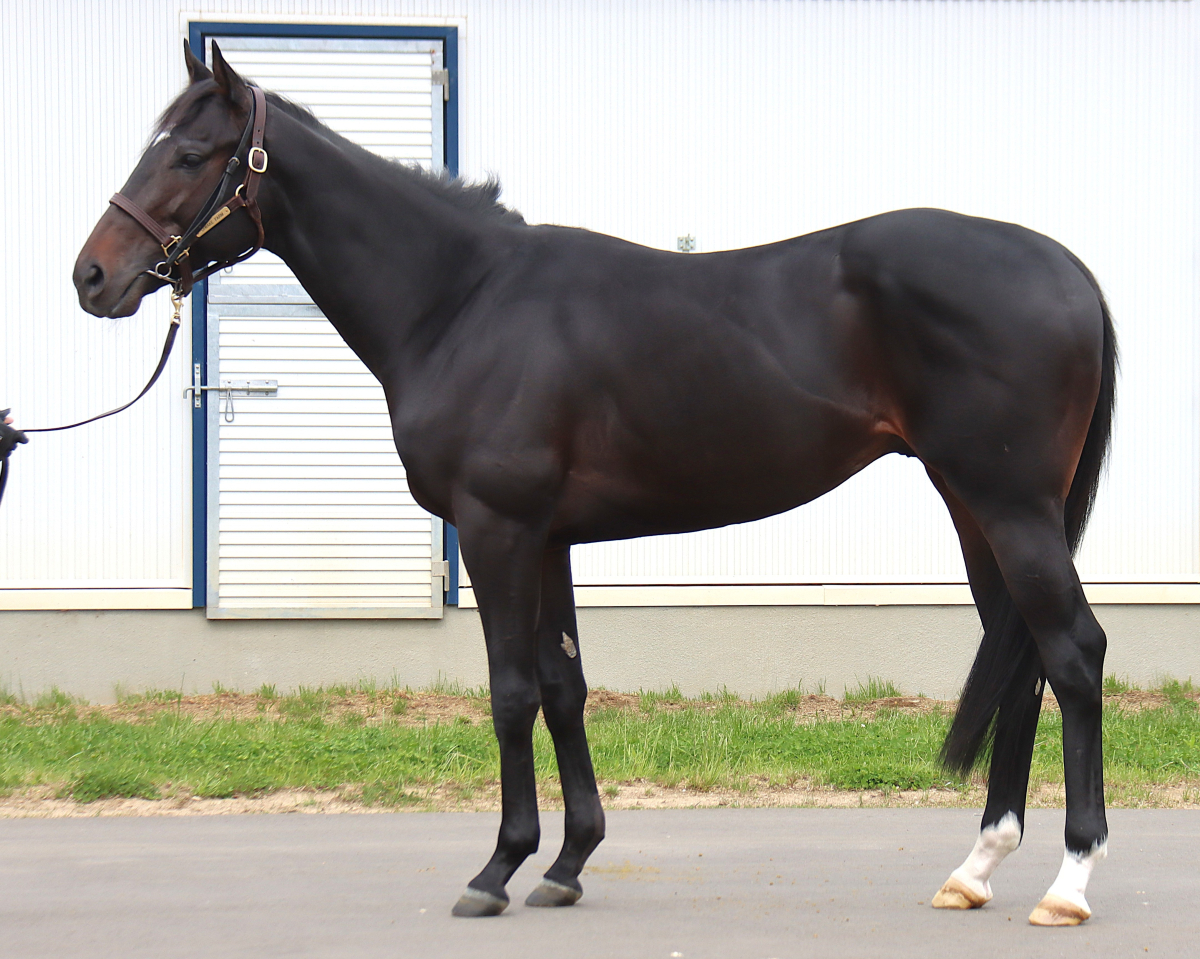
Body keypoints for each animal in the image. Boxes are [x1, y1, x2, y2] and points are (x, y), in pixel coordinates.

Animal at [74, 42, 1116, 927]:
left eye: (191, 154)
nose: (92, 276)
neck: (463, 300)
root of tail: (1069, 269)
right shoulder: (549, 537)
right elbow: (563, 684)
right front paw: (568, 862)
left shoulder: (495, 527)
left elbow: (509, 691)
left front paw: (496, 867)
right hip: (974, 505)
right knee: (1023, 663)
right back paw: (975, 867)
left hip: (1011, 506)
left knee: (1073, 653)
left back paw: (1068, 880)